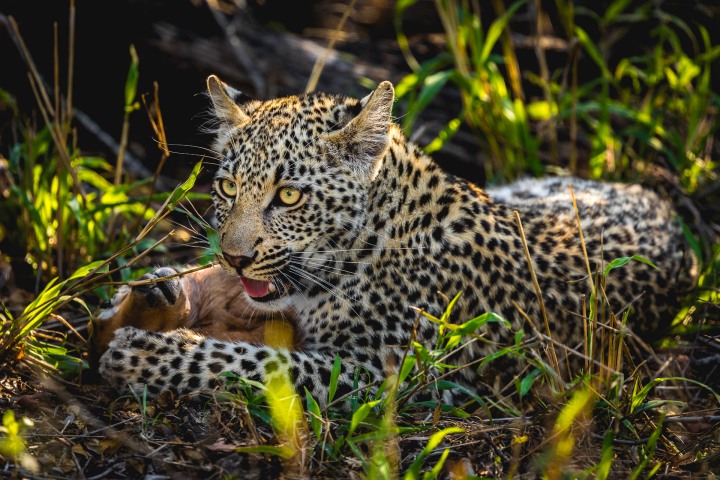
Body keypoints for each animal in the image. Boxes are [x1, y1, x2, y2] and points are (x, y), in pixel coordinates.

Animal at [97, 75, 698, 405]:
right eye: (227, 187)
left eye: (288, 196)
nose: (234, 257)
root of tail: (662, 203)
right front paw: (154, 291)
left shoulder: (389, 377)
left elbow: (260, 364)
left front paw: (149, 355)